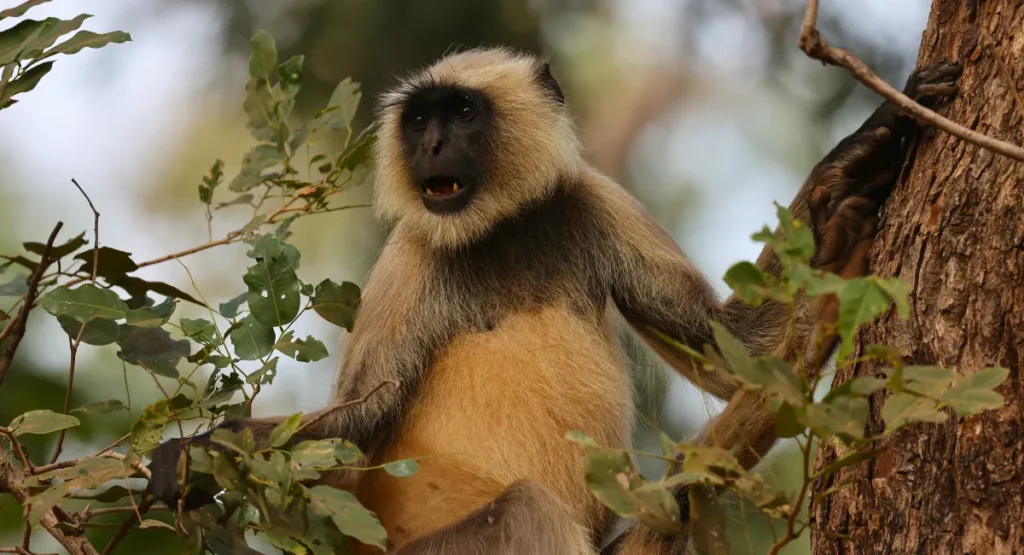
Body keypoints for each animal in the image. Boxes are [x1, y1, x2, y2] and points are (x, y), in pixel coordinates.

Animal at [148, 48, 960, 554]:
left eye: (461, 113)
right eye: (419, 120)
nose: (430, 145)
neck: (500, 229)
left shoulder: (589, 203)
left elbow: (735, 354)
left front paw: (851, 170)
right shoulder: (410, 256)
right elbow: (358, 419)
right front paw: (195, 456)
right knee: (526, 510)